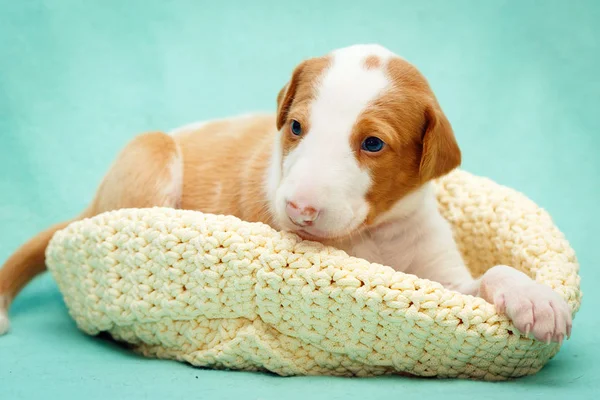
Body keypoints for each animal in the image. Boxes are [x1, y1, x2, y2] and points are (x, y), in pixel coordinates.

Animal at [0, 44, 572, 344]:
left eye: (372, 143)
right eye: (296, 127)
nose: (298, 207)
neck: (373, 236)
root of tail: (91, 203)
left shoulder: (445, 283)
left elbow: (490, 275)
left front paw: (536, 298)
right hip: (151, 156)